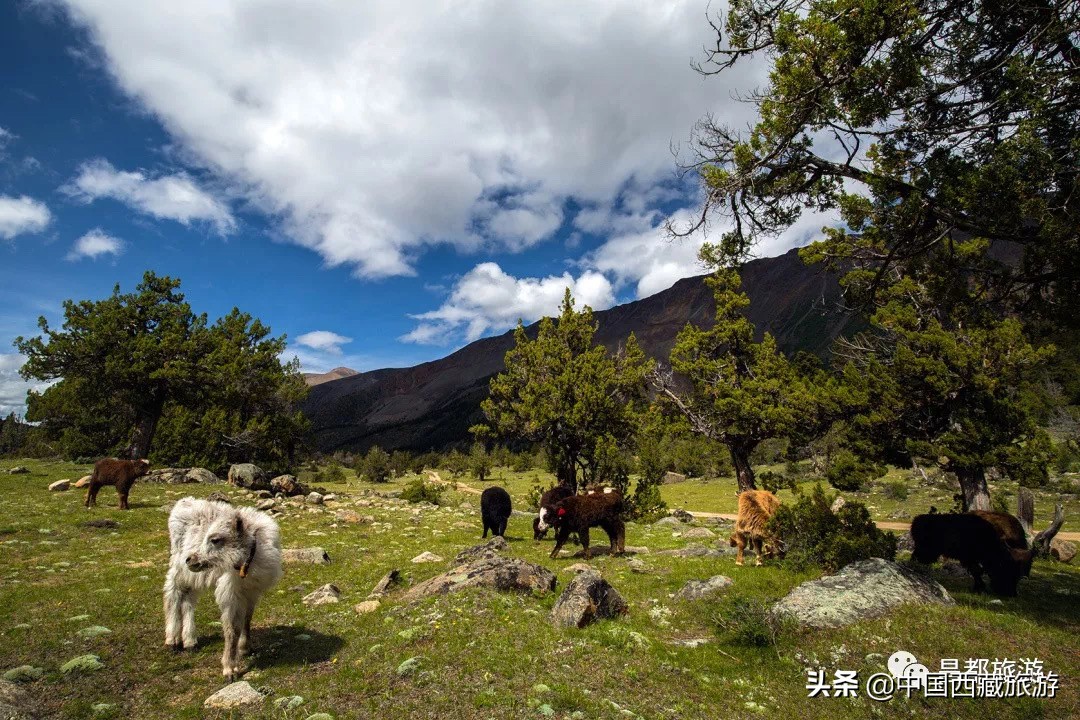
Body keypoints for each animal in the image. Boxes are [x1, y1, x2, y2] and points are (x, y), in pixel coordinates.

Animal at [163, 498, 282, 677]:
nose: (190, 559)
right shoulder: (230, 591)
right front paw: (230, 668)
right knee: (173, 593)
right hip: (178, 565)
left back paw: (190, 640)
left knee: (188, 599)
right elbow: (232, 628)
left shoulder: (252, 592)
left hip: (193, 574)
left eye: (215, 540)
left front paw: (245, 647)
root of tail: (185, 501)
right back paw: (172, 639)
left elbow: (247, 620)